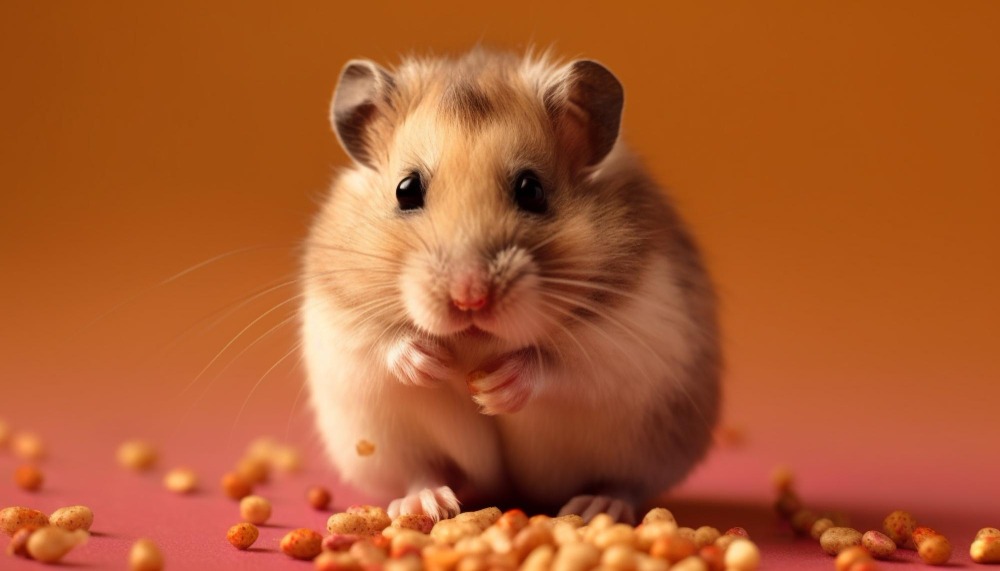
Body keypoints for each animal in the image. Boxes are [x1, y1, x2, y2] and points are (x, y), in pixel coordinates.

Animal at [301, 48, 720, 524]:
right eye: (405, 190)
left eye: (531, 190)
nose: (470, 297)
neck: (476, 342)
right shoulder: (341, 323)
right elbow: (382, 344)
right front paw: (431, 364)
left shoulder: (624, 339)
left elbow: (561, 366)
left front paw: (492, 389)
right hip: (382, 444)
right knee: (420, 471)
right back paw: (427, 502)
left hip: (648, 446)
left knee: (625, 484)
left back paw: (597, 507)